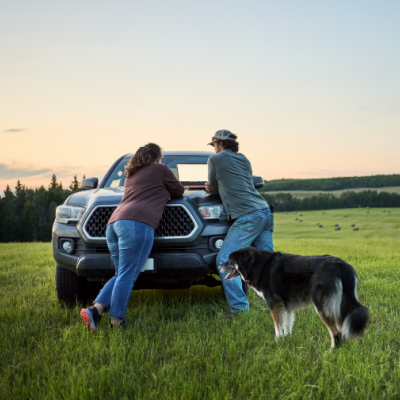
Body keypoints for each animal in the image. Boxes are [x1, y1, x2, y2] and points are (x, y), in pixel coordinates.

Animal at [219, 247, 368, 346]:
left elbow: (277, 326)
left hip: (322, 306)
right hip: (339, 305)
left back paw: (331, 353)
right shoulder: (286, 306)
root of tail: (340, 265)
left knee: (336, 332)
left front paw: (278, 342)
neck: (257, 265)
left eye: (229, 260)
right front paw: (287, 339)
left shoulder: (275, 304)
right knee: (342, 329)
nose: (219, 267)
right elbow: (287, 325)